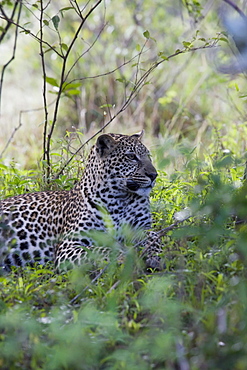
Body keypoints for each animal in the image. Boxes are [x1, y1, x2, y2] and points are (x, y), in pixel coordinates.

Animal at [0, 132, 162, 272]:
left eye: (148, 156)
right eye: (131, 156)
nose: (154, 175)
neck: (120, 199)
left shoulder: (141, 227)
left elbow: (155, 236)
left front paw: (155, 257)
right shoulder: (69, 245)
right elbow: (99, 250)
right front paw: (123, 257)